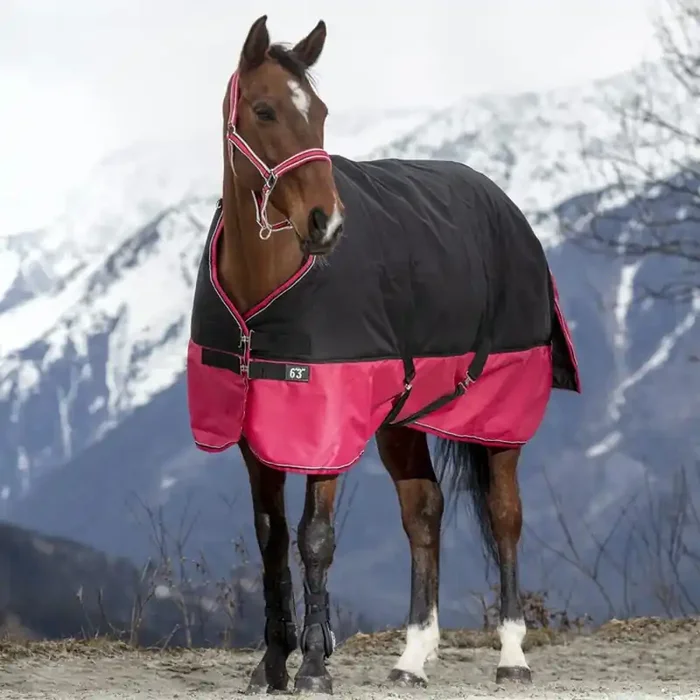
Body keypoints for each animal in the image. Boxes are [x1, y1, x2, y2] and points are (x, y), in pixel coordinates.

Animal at [186, 15, 580, 694]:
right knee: (423, 512)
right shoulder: (255, 434)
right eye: (264, 110)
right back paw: (413, 658)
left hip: (501, 417)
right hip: (402, 420)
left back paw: (512, 655)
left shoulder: (326, 430)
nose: (326, 223)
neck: (263, 292)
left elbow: (315, 539)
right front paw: (272, 664)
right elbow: (271, 539)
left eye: (319, 112)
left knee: (505, 515)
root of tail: (507, 204)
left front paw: (314, 668)